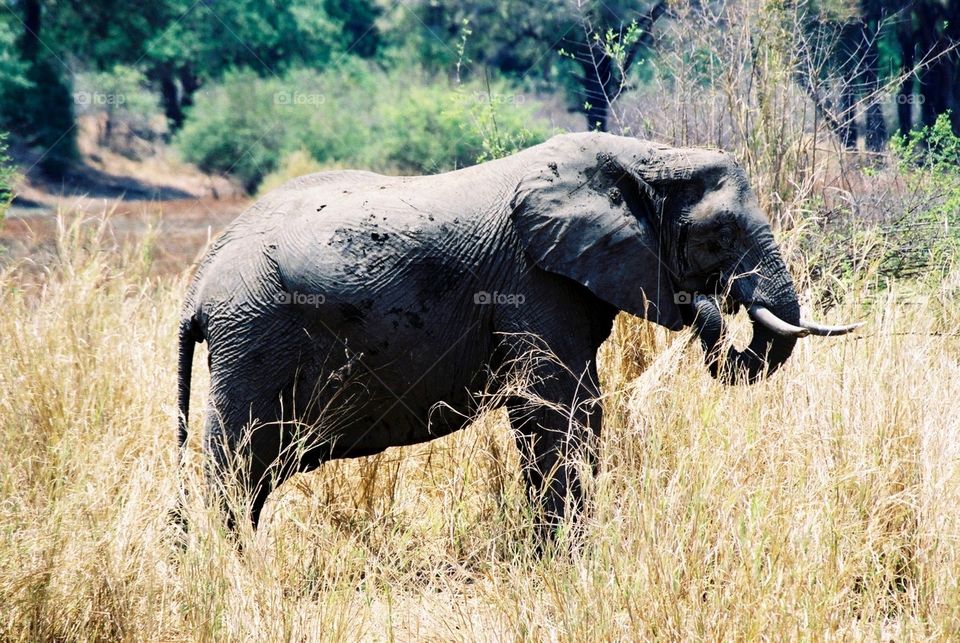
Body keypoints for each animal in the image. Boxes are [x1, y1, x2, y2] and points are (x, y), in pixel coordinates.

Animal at [176, 131, 860, 532]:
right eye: (718, 236)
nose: (710, 304)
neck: (639, 156)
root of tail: (199, 285)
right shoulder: (531, 280)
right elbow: (556, 409)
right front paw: (567, 560)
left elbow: (570, 412)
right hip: (254, 338)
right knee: (237, 464)